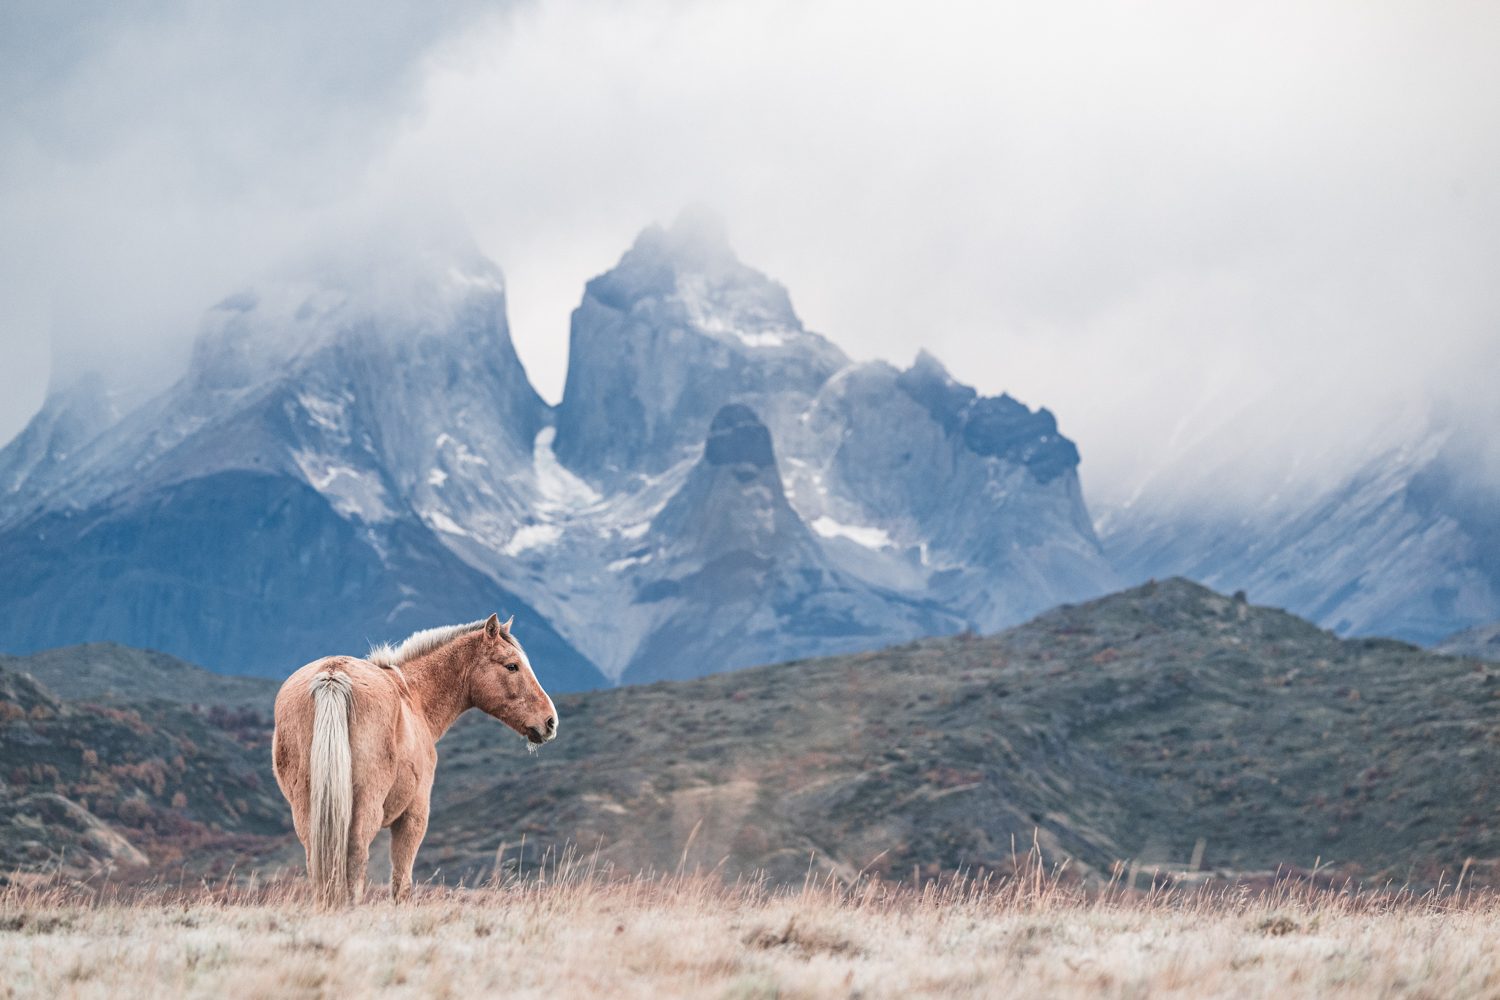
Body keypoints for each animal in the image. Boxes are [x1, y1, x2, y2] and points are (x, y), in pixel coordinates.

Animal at [271, 613, 557, 906]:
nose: (549, 721)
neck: (413, 694)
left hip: (308, 812)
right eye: (512, 666)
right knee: (356, 860)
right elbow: (401, 882)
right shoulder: (414, 815)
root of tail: (333, 675)